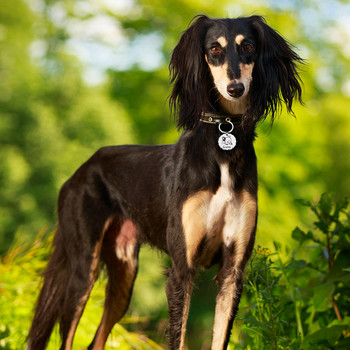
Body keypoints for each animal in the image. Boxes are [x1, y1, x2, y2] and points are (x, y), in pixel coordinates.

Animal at [27, 15, 302, 350]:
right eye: (214, 49)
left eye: (248, 46)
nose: (235, 88)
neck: (223, 138)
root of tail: (82, 168)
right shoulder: (182, 269)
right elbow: (178, 339)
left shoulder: (233, 271)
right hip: (82, 268)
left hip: (124, 272)